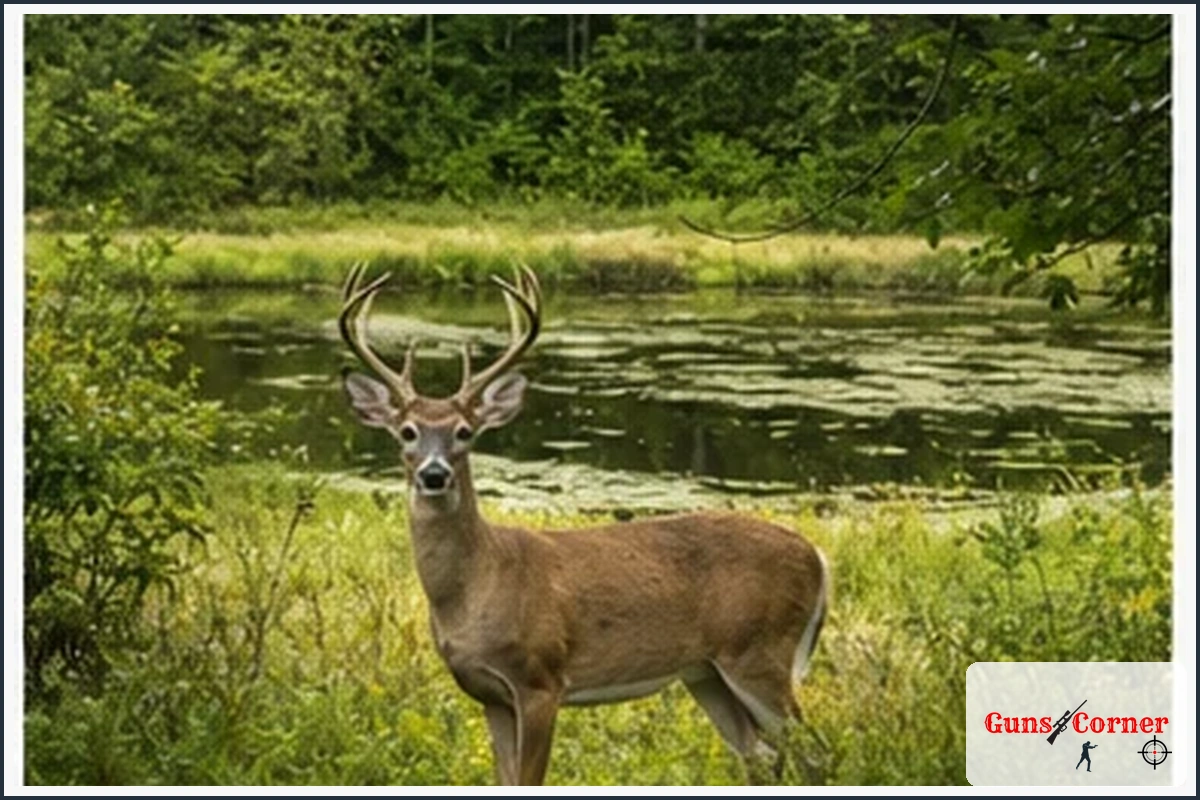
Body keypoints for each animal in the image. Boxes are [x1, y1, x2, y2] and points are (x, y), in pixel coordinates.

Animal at [338, 262, 830, 785]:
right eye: (407, 432)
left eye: (464, 432)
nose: (434, 475)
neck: (477, 586)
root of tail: (818, 557)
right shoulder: (488, 694)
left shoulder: (541, 678)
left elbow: (529, 779)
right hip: (706, 672)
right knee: (760, 756)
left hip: (760, 650)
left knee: (814, 753)